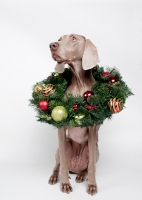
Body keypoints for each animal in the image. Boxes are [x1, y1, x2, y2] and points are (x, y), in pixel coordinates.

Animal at [48, 33, 100, 195]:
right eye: (59, 39)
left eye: (73, 38)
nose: (52, 45)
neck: (79, 82)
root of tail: (75, 168)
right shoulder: (61, 127)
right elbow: (63, 164)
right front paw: (64, 184)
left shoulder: (92, 128)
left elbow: (92, 166)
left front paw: (92, 185)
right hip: (61, 147)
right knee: (58, 165)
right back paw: (54, 176)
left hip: (96, 149)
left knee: (87, 166)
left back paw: (82, 175)